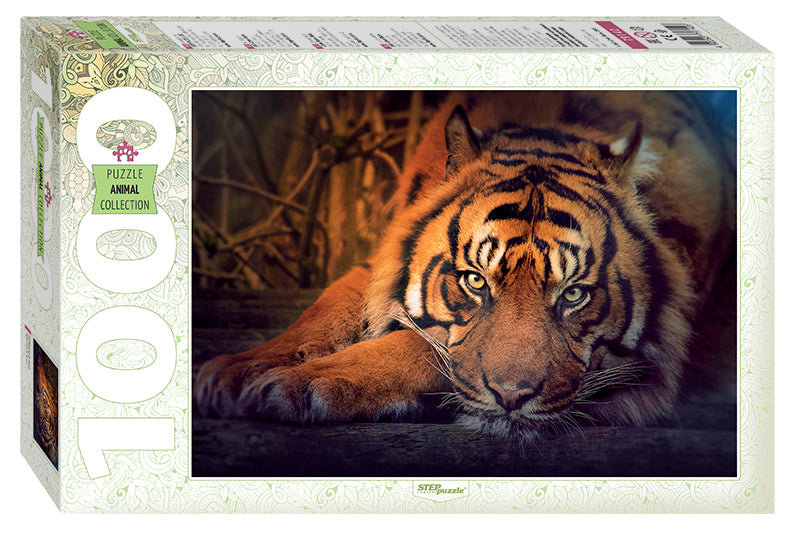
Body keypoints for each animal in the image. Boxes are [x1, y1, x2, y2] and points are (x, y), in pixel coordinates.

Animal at [195, 91, 735, 442]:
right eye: (474, 281)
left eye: (574, 294)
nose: (512, 397)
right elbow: (326, 310)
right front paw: (239, 371)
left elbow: (419, 345)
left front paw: (294, 383)